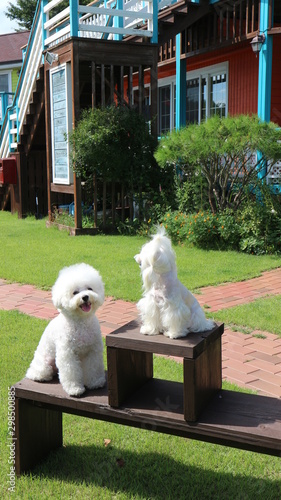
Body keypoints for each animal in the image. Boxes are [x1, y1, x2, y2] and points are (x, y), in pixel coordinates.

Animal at [26, 264, 105, 396]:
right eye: (75, 292)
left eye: (90, 288)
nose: (85, 296)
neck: (81, 322)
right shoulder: (68, 354)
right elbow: (71, 371)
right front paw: (75, 389)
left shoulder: (93, 351)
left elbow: (93, 368)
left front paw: (95, 382)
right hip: (44, 363)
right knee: (36, 372)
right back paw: (40, 376)